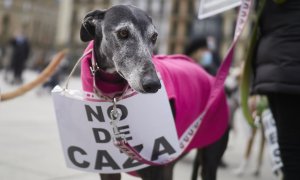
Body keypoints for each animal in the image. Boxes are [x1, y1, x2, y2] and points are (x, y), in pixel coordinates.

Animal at [78, 4, 229, 180]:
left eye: (154, 37)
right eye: (123, 33)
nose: (153, 84)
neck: (113, 95)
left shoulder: (157, 169)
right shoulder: (108, 170)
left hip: (208, 159)